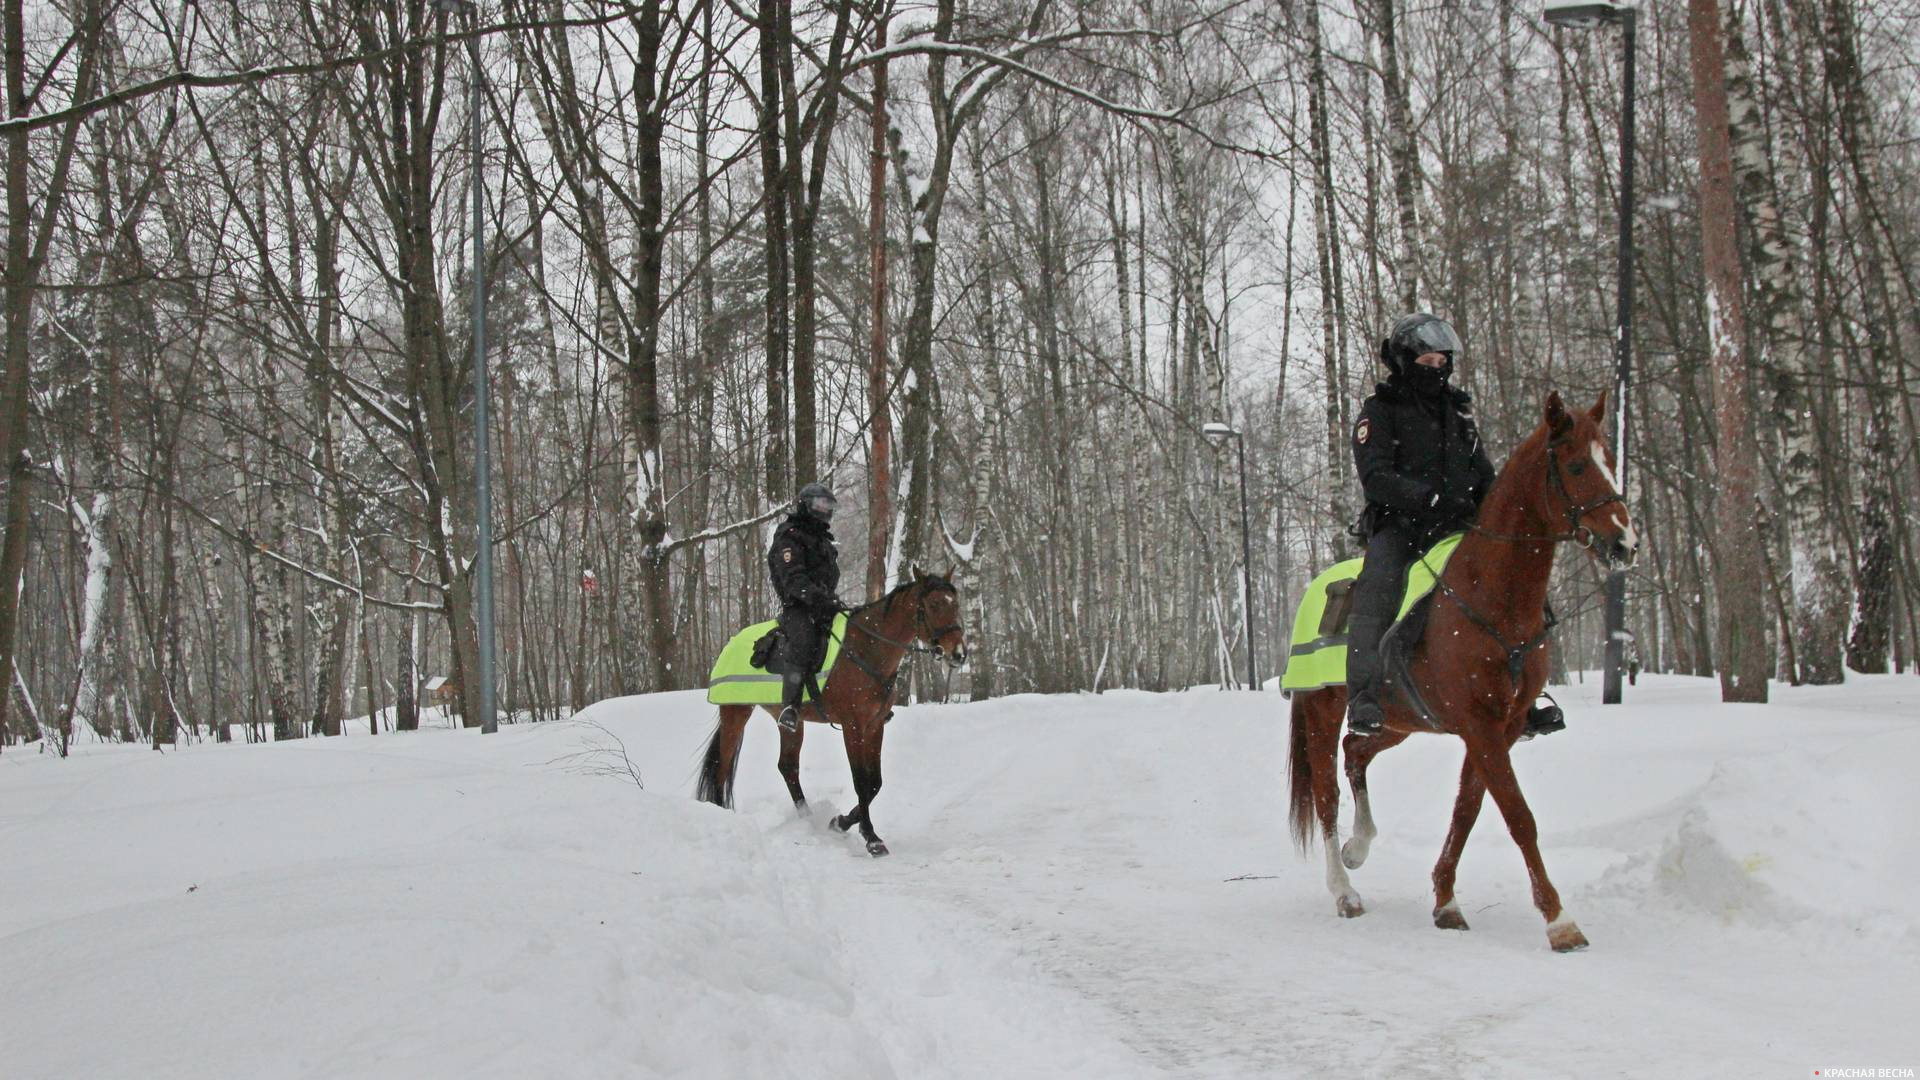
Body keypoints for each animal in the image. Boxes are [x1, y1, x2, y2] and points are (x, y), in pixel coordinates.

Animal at [695, 568, 967, 853]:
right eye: (934, 604)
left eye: (955, 604)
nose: (959, 654)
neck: (867, 649)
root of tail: (731, 642)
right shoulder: (853, 726)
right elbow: (861, 781)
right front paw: (871, 838)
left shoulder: (874, 725)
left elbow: (875, 782)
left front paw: (840, 822)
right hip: (735, 713)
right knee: (722, 766)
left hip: (790, 724)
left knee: (787, 767)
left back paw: (808, 819)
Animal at [1290, 390, 1635, 945]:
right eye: (1578, 465)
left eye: (1610, 460)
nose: (1625, 543)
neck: (1491, 596)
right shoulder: (1480, 726)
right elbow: (1518, 815)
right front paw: (1559, 919)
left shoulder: (1502, 726)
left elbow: (1467, 811)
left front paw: (1446, 900)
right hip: (1323, 712)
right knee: (1326, 794)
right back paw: (1344, 890)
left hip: (1398, 722)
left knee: (1356, 752)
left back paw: (1360, 845)